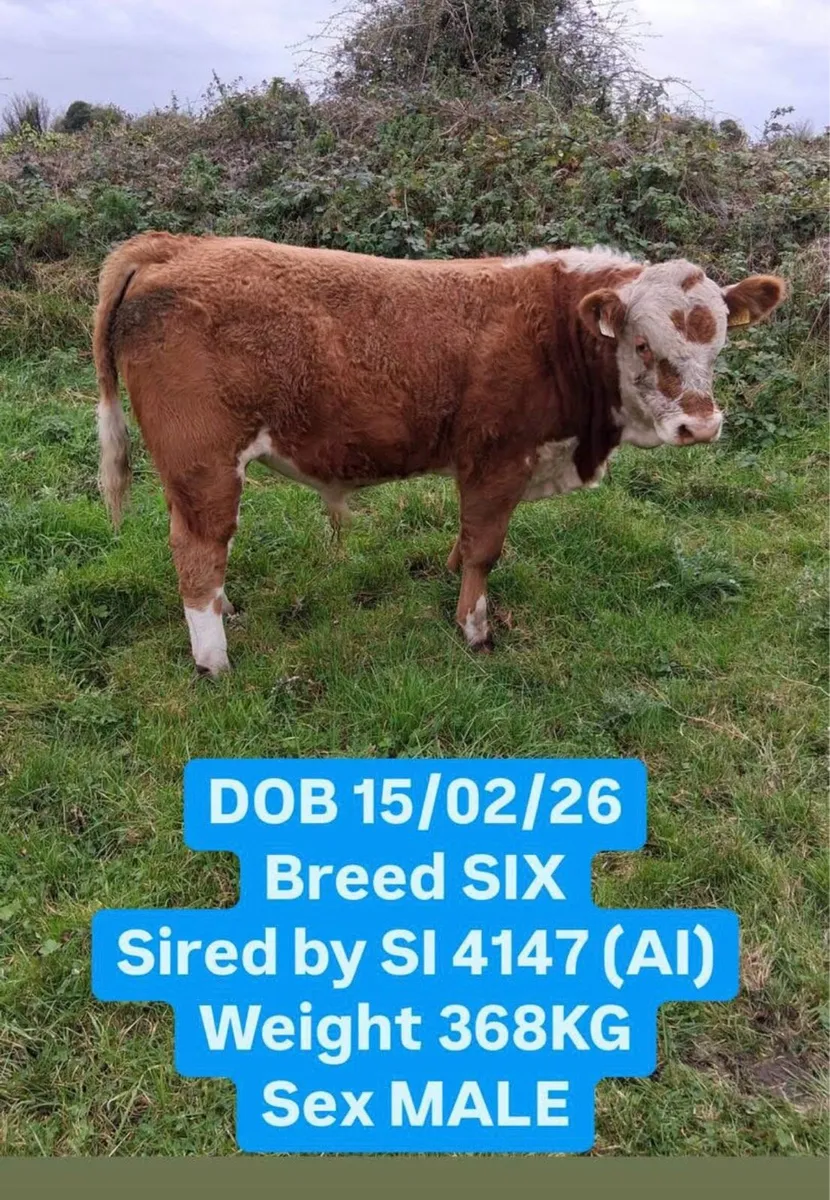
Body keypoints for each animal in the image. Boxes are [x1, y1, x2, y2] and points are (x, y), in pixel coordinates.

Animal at [92, 232, 786, 676]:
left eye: (720, 341)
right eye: (642, 344)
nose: (700, 425)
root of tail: (175, 246)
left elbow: (466, 539)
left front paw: (452, 577)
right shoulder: (500, 458)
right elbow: (486, 549)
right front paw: (474, 629)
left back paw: (227, 613)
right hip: (203, 463)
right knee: (198, 552)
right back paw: (215, 660)